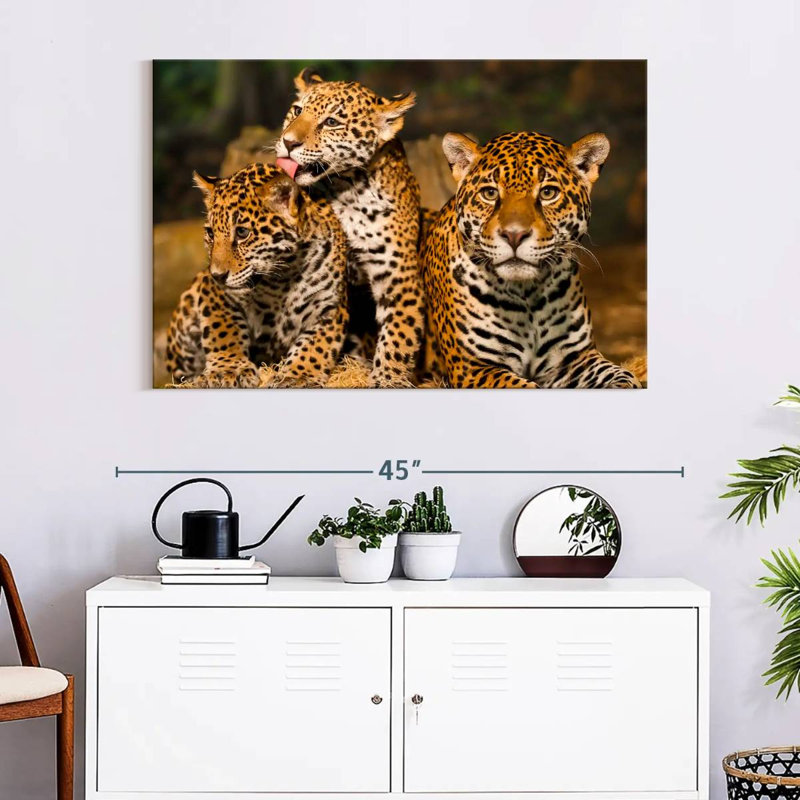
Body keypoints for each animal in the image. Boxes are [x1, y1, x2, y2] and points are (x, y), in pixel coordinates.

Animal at [165, 162, 348, 388]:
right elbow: (223, 330)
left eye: (242, 233)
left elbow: (316, 346)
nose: (217, 275)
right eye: (210, 233)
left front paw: (298, 376)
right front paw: (228, 370)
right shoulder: (214, 293)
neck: (283, 277)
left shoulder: (330, 306)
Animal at [275, 68, 425, 387]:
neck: (347, 191)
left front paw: (388, 379)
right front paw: (296, 374)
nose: (288, 142)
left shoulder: (400, 277)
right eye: (297, 110)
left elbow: (400, 335)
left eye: (332, 122)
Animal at [422, 130, 641, 389]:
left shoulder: (575, 358)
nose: (514, 235)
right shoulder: (473, 368)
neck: (527, 295)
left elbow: (622, 376)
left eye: (548, 193)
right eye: (489, 193)